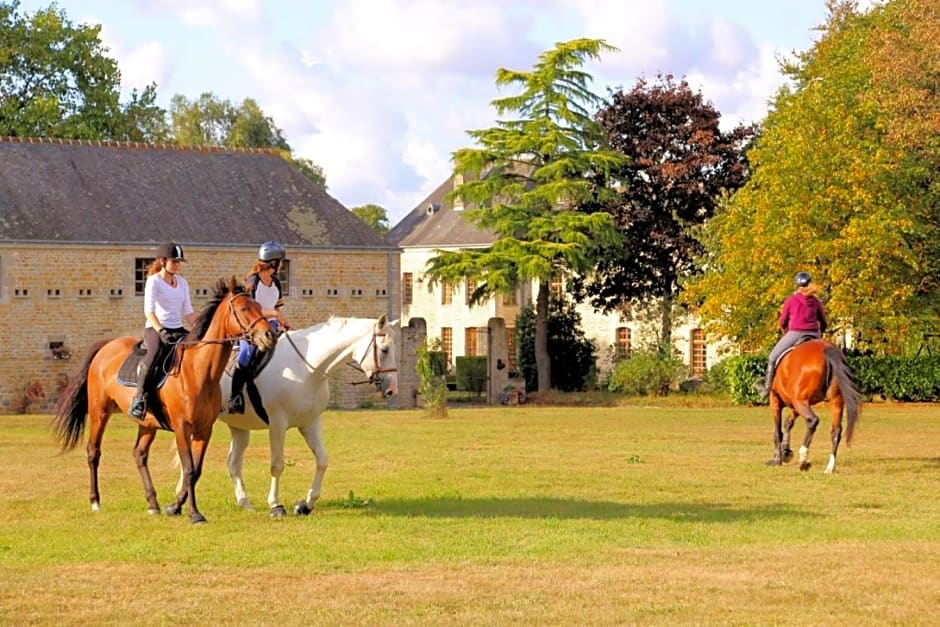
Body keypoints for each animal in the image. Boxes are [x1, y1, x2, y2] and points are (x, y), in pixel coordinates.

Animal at [52, 278, 276, 524]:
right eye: (244, 309)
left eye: (258, 306)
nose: (269, 335)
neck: (199, 371)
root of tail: (105, 347)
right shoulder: (182, 427)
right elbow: (188, 469)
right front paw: (194, 514)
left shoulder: (204, 430)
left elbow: (196, 471)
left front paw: (175, 507)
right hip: (99, 412)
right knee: (93, 451)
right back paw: (95, 501)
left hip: (147, 423)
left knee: (139, 454)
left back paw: (153, 504)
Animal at [182, 316, 398, 516]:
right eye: (385, 349)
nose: (392, 390)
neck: (306, 369)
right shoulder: (278, 423)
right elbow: (277, 465)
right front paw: (276, 505)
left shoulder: (310, 423)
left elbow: (322, 460)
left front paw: (306, 504)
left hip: (239, 427)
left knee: (232, 463)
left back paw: (243, 503)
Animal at [764, 340, 860, 474]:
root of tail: (827, 349)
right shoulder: (795, 406)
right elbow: (788, 423)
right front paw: (786, 452)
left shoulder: (775, 401)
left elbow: (777, 431)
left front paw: (777, 459)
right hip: (836, 400)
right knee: (836, 431)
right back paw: (829, 467)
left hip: (800, 401)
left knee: (813, 421)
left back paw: (804, 459)